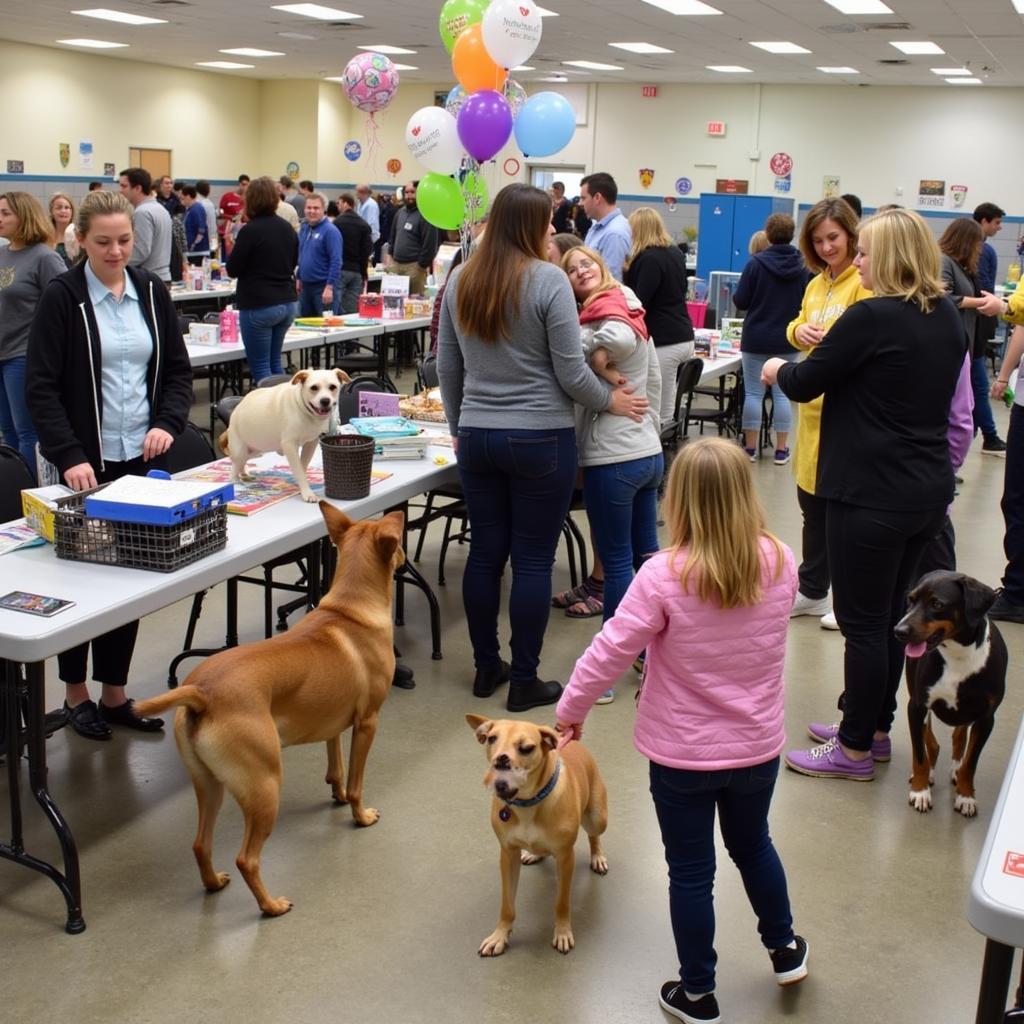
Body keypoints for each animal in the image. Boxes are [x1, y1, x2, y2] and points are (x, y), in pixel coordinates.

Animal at [135, 507, 403, 917]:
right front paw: (359, 815)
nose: (404, 558)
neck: (350, 609)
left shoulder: (334, 725)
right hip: (265, 785)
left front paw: (337, 794)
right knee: (247, 858)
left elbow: (337, 767)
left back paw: (213, 883)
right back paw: (271, 905)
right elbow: (357, 782)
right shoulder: (367, 723)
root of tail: (201, 693)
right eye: (401, 543)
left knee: (200, 844)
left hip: (209, 786)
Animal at [466, 716, 606, 954]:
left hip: (597, 819)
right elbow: (507, 906)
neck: (527, 802)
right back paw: (534, 854)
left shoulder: (565, 858)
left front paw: (562, 931)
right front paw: (500, 935)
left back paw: (597, 856)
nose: (501, 759)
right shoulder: (508, 856)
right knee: (541, 849)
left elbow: (561, 903)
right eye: (492, 739)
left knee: (594, 836)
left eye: (526, 748)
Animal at [897, 569, 1007, 815]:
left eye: (937, 604)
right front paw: (920, 791)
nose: (899, 631)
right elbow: (919, 754)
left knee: (959, 736)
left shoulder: (986, 718)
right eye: (910, 600)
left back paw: (956, 768)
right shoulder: (917, 706)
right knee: (931, 742)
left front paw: (966, 796)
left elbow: (970, 763)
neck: (958, 655)